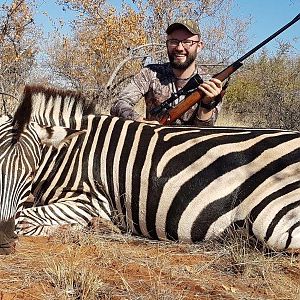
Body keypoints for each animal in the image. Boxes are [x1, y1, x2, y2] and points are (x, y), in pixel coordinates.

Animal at [15, 103, 300, 251]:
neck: (69, 152)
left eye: (26, 168)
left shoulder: (93, 201)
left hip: (273, 220)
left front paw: (85, 229)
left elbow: (25, 218)